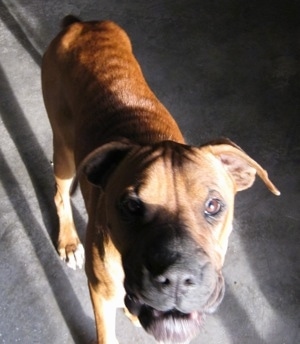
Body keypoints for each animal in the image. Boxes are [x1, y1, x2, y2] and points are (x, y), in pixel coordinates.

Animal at [41, 14, 280, 342]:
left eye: (214, 205)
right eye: (130, 206)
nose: (178, 278)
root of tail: (81, 24)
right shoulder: (100, 295)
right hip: (63, 151)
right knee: (60, 194)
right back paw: (68, 241)